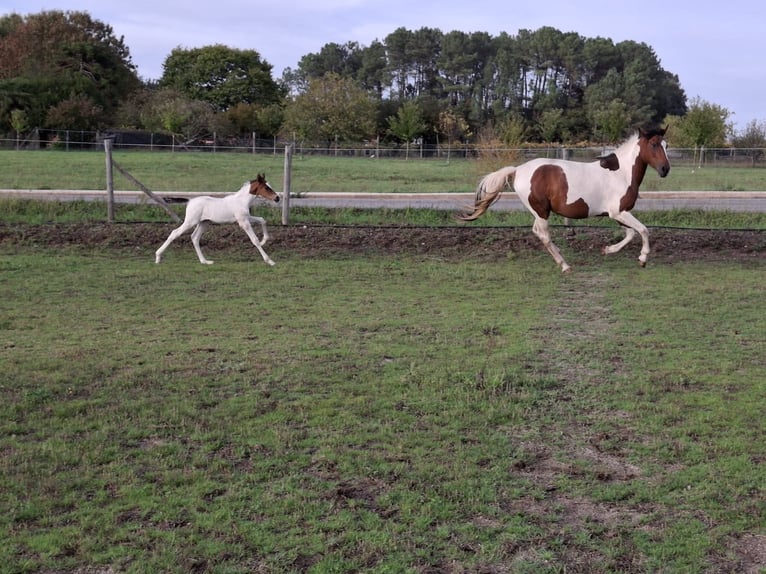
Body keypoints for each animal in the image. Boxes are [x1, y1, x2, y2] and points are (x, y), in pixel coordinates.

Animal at [458, 127, 670, 272]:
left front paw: (607, 250)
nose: (665, 170)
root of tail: (517, 170)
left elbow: (631, 234)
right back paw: (564, 265)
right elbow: (643, 230)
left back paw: (560, 254)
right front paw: (643, 258)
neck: (621, 173)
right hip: (541, 211)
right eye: (653, 145)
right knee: (544, 235)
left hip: (539, 212)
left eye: (666, 145)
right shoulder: (618, 212)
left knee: (537, 232)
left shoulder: (619, 213)